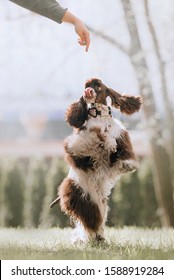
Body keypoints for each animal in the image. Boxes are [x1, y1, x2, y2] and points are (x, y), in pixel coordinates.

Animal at [50, 77, 143, 242]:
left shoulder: (121, 135)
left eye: (98, 86)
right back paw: (92, 239)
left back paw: (100, 238)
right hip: (86, 199)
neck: (100, 117)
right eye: (86, 86)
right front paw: (107, 141)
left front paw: (127, 164)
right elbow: (97, 136)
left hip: (100, 204)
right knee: (90, 222)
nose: (88, 91)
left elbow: (124, 153)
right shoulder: (77, 145)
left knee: (99, 221)